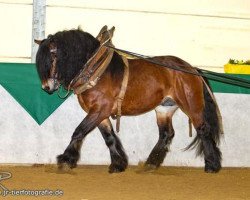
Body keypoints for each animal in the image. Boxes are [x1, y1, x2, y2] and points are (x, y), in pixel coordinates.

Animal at [34, 27, 223, 173]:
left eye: (52, 57)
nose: (46, 87)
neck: (96, 70)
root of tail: (191, 68)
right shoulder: (100, 113)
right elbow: (109, 137)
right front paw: (118, 164)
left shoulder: (100, 109)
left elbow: (79, 131)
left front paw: (65, 159)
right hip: (164, 108)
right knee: (166, 134)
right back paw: (151, 163)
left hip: (191, 106)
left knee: (203, 130)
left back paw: (212, 165)